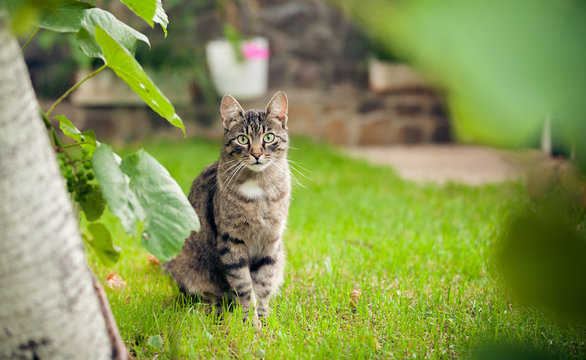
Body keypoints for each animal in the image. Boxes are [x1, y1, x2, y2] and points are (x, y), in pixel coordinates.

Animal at [165, 91, 288, 322]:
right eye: (242, 139)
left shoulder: (271, 241)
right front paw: (250, 323)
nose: (256, 154)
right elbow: (244, 285)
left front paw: (263, 320)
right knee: (205, 296)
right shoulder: (231, 240)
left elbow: (263, 284)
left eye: (268, 137)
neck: (259, 188)